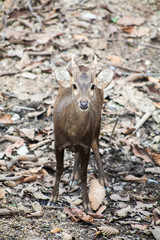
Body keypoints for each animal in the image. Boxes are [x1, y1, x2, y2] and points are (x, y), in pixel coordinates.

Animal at [50, 56, 114, 210]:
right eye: (74, 85)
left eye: (93, 86)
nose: (84, 104)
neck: (73, 134)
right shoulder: (58, 143)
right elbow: (59, 169)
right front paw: (53, 198)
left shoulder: (86, 145)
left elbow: (85, 174)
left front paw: (86, 203)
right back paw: (74, 176)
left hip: (98, 122)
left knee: (96, 145)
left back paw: (103, 180)